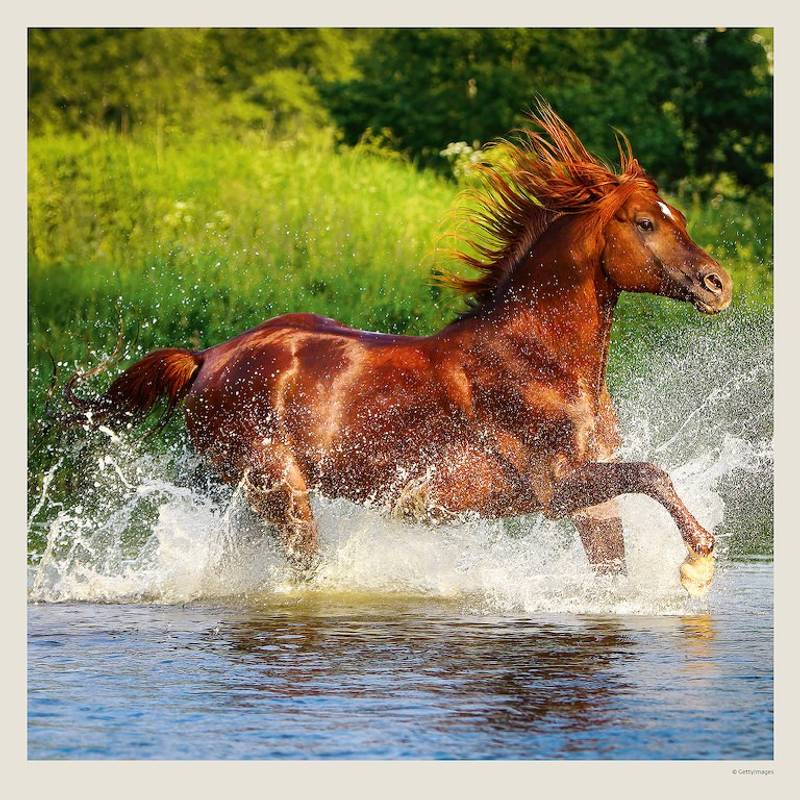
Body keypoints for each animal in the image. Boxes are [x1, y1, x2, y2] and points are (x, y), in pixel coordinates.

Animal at [66, 103, 732, 591]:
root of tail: (207, 358)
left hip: (245, 501)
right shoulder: (552, 487)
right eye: (646, 222)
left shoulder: (588, 496)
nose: (717, 284)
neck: (537, 359)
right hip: (280, 493)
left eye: (677, 214)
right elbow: (652, 473)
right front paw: (698, 561)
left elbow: (615, 559)